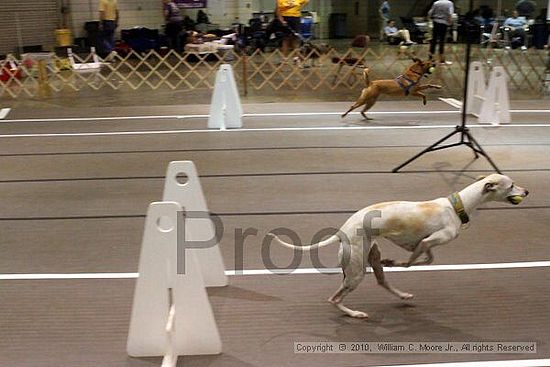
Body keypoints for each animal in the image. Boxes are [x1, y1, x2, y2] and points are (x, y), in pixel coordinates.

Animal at [270, 175, 532, 320]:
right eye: (512, 185)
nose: (527, 191)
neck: (457, 206)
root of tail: (342, 231)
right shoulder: (428, 241)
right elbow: (412, 262)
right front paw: (399, 262)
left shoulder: (425, 243)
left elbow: (425, 258)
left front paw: (395, 262)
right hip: (356, 271)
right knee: (334, 299)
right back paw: (355, 313)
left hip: (371, 256)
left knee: (381, 280)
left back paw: (402, 294)